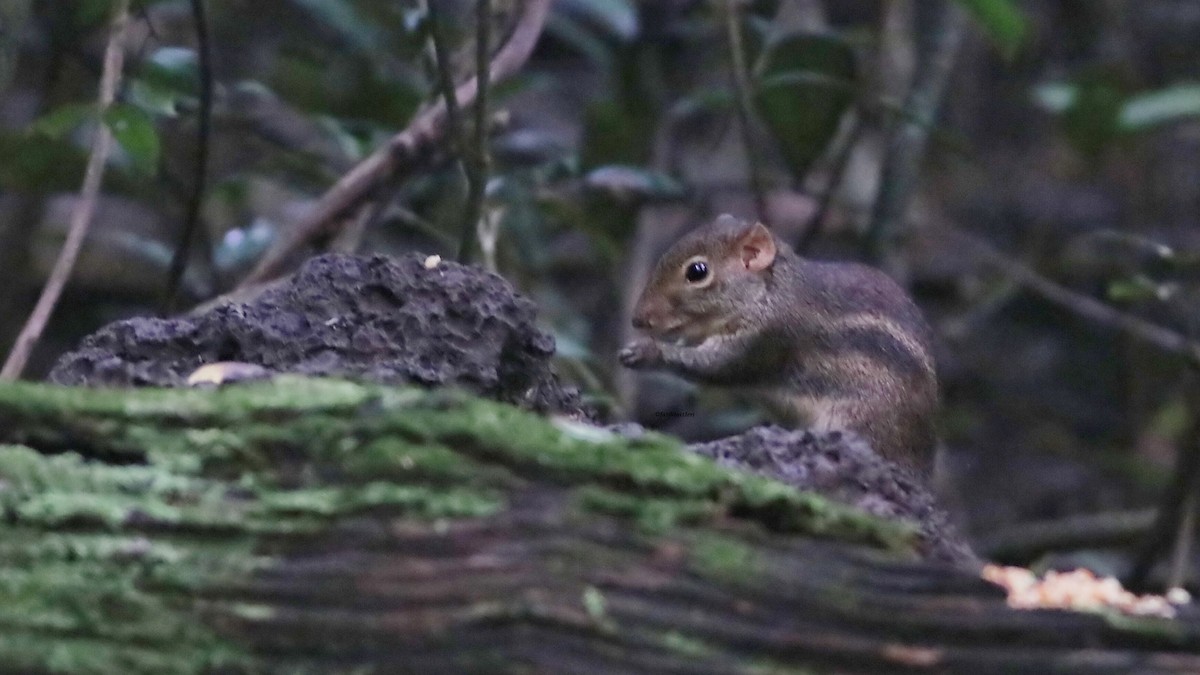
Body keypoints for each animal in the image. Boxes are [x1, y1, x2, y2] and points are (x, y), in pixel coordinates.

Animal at [618, 214, 939, 477]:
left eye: (697, 271)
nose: (637, 319)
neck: (769, 292)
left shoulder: (767, 338)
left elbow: (719, 367)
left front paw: (648, 352)